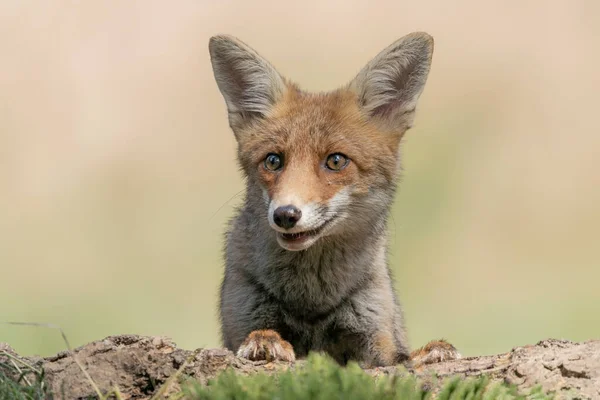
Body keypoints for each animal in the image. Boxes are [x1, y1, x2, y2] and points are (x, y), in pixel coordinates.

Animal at [209, 32, 462, 368]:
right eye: (273, 161)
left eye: (336, 161)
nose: (285, 215)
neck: (312, 299)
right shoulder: (244, 314)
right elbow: (257, 335)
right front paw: (265, 342)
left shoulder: (373, 335)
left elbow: (398, 357)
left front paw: (430, 353)